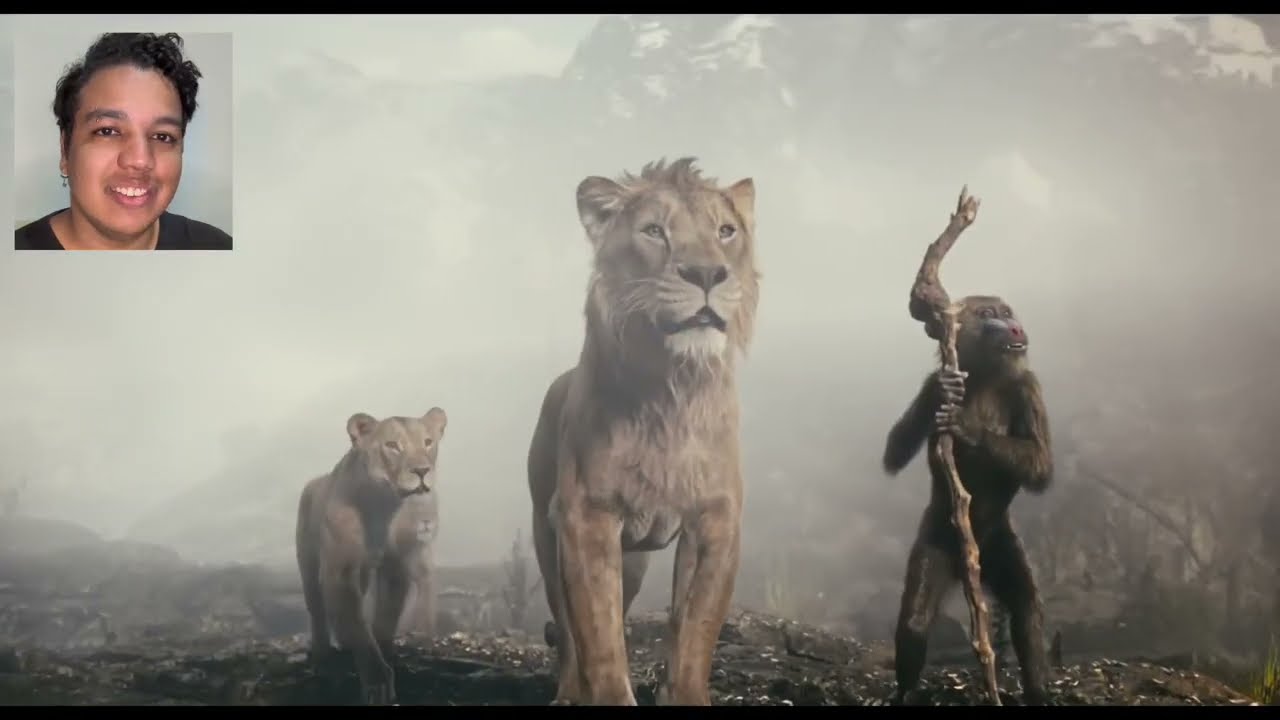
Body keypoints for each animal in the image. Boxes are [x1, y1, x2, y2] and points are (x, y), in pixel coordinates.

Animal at [295, 407, 448, 705]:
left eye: (427, 442)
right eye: (392, 445)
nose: (422, 471)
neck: (383, 506)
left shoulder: (395, 567)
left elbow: (384, 620)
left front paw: (386, 653)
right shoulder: (340, 572)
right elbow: (357, 628)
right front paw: (377, 681)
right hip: (308, 564)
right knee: (317, 608)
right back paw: (322, 653)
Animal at [526, 157, 761, 706]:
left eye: (726, 231)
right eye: (654, 231)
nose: (706, 273)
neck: (672, 390)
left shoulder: (716, 520)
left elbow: (695, 631)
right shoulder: (587, 517)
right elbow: (599, 636)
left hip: (632, 562)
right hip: (548, 535)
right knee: (567, 632)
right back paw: (568, 691)